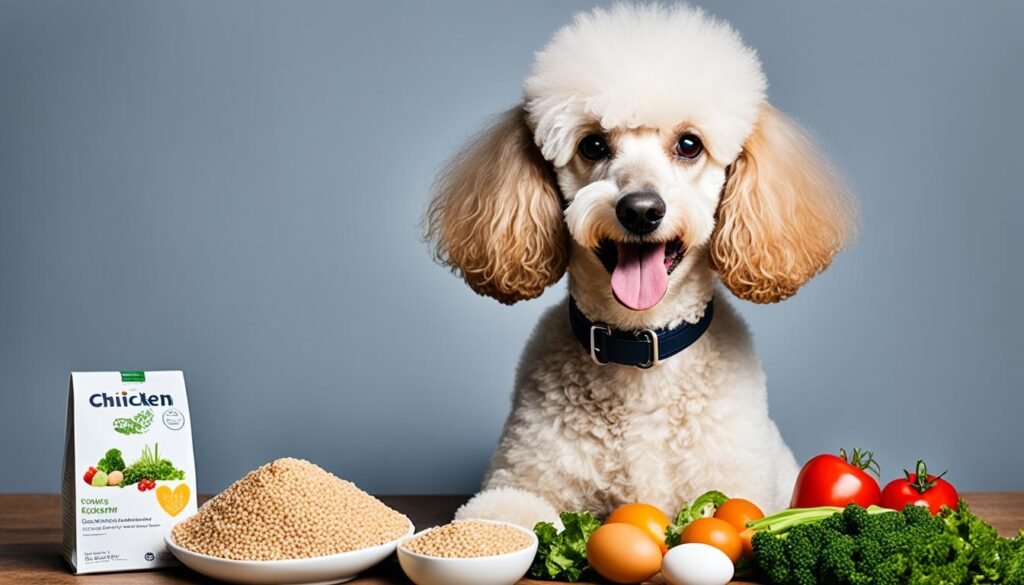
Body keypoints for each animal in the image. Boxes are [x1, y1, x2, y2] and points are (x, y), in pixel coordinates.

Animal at [423, 3, 856, 524]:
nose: (641, 210)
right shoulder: (517, 484)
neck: (639, 349)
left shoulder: (735, 487)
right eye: (592, 145)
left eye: (689, 145)